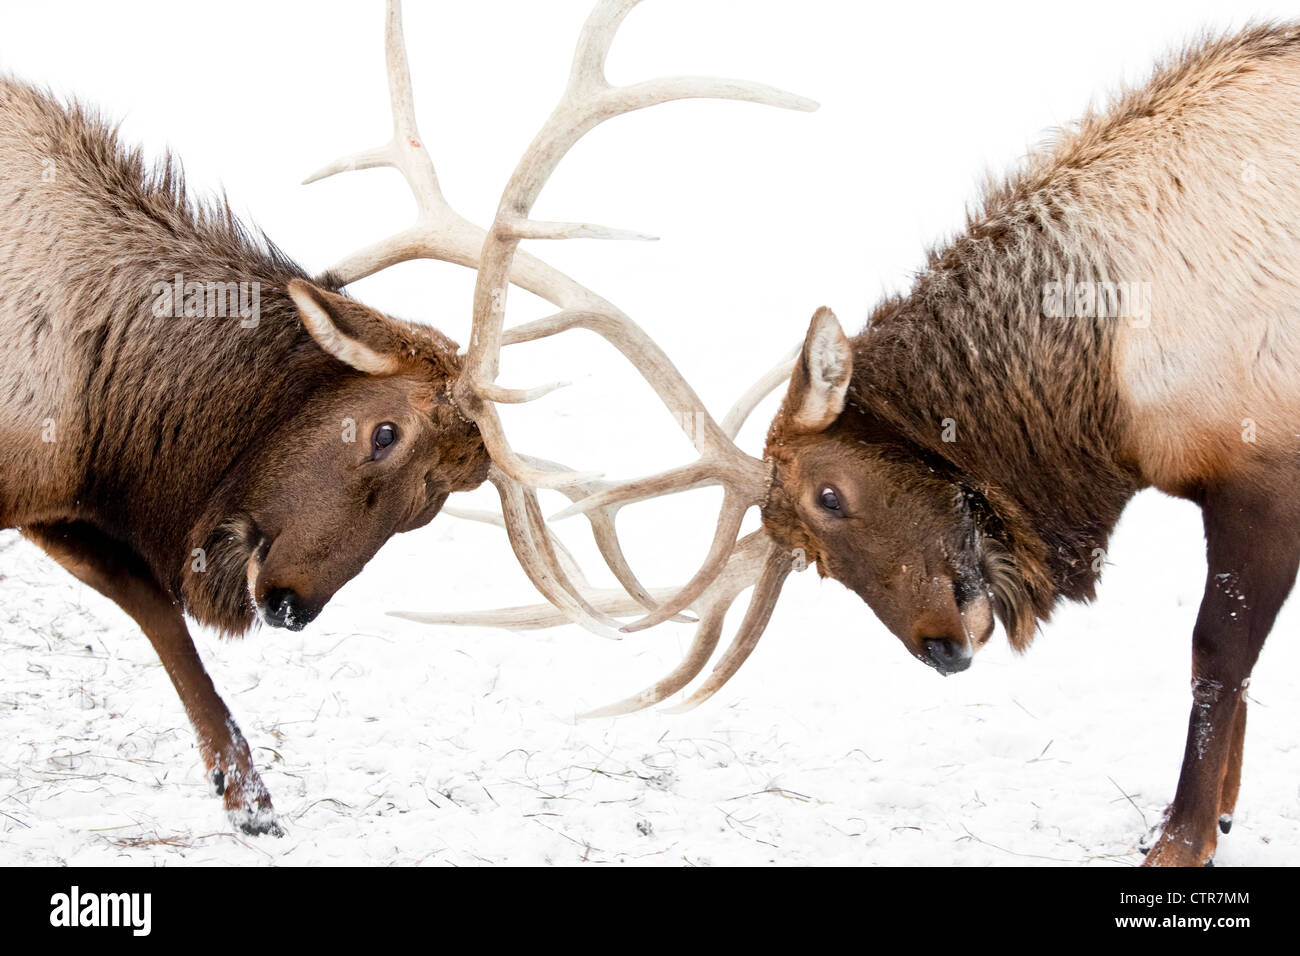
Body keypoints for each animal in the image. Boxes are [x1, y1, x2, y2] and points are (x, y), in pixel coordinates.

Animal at [0, 0, 811, 832]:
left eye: (433, 503)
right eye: (384, 432)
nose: (290, 606)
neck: (98, 415)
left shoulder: (58, 502)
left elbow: (152, 605)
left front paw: (249, 795)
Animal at [416, 24, 1300, 868]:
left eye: (830, 494)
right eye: (811, 557)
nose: (940, 648)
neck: (1108, 391)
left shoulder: (1261, 473)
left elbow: (1217, 656)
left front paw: (1181, 840)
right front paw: (1215, 815)